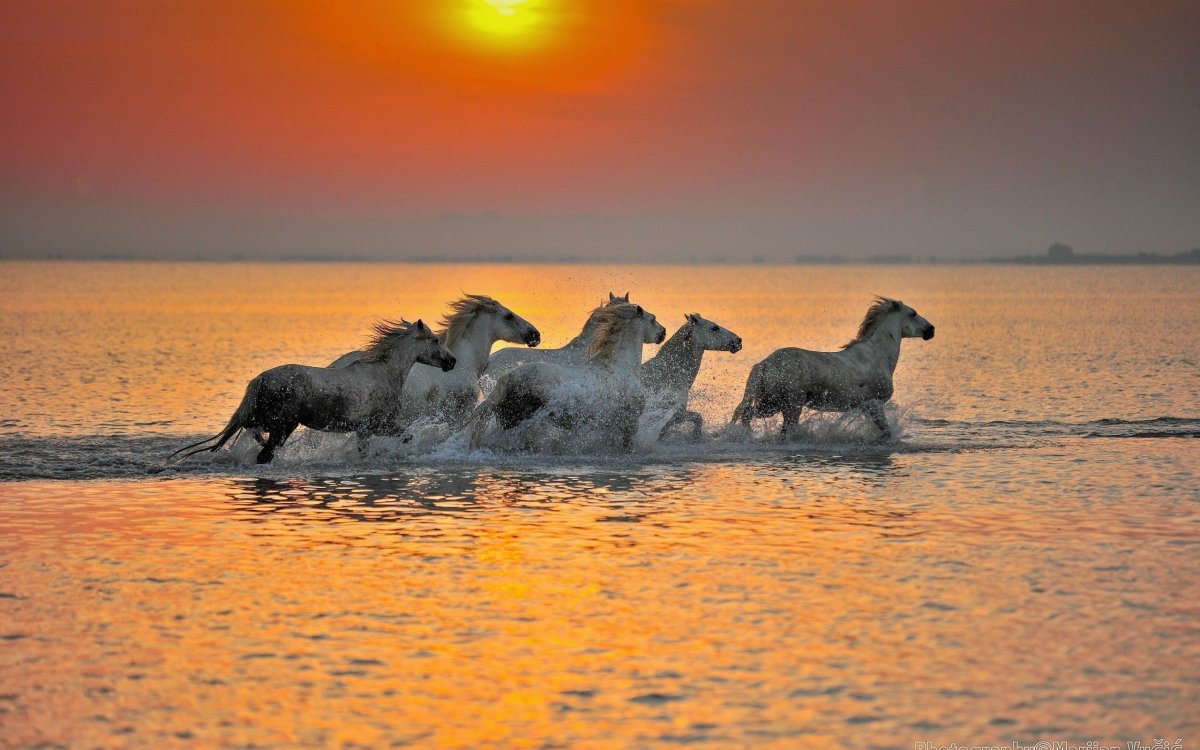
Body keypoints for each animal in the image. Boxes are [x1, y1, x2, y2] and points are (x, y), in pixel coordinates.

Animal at [170, 319, 455, 464]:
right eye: (435, 340)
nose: (452, 362)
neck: (383, 373)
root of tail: (260, 380)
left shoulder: (364, 430)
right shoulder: (378, 424)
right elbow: (406, 436)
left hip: (270, 421)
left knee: (253, 431)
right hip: (283, 426)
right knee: (264, 453)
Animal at [469, 302, 666, 452]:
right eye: (652, 319)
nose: (663, 333)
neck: (620, 367)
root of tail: (509, 377)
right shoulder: (630, 423)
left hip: (508, 419)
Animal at [730, 297, 934, 440]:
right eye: (913, 313)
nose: (931, 330)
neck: (877, 355)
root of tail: (764, 364)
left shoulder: (867, 407)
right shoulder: (874, 403)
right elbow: (887, 432)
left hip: (770, 404)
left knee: (747, 414)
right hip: (789, 406)